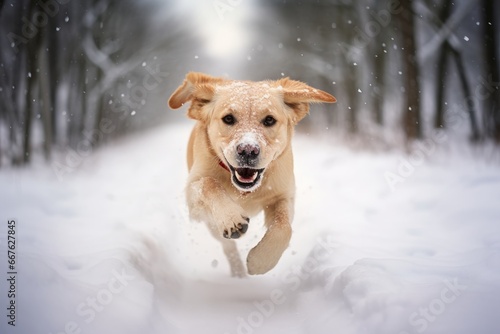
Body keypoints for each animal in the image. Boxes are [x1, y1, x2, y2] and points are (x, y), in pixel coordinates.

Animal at [168, 72, 336, 276]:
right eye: (228, 119)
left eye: (269, 120)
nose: (248, 150)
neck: (244, 191)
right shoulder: (193, 199)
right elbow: (209, 183)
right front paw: (233, 219)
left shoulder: (284, 195)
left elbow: (283, 227)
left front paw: (261, 261)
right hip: (212, 224)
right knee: (227, 246)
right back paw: (238, 273)